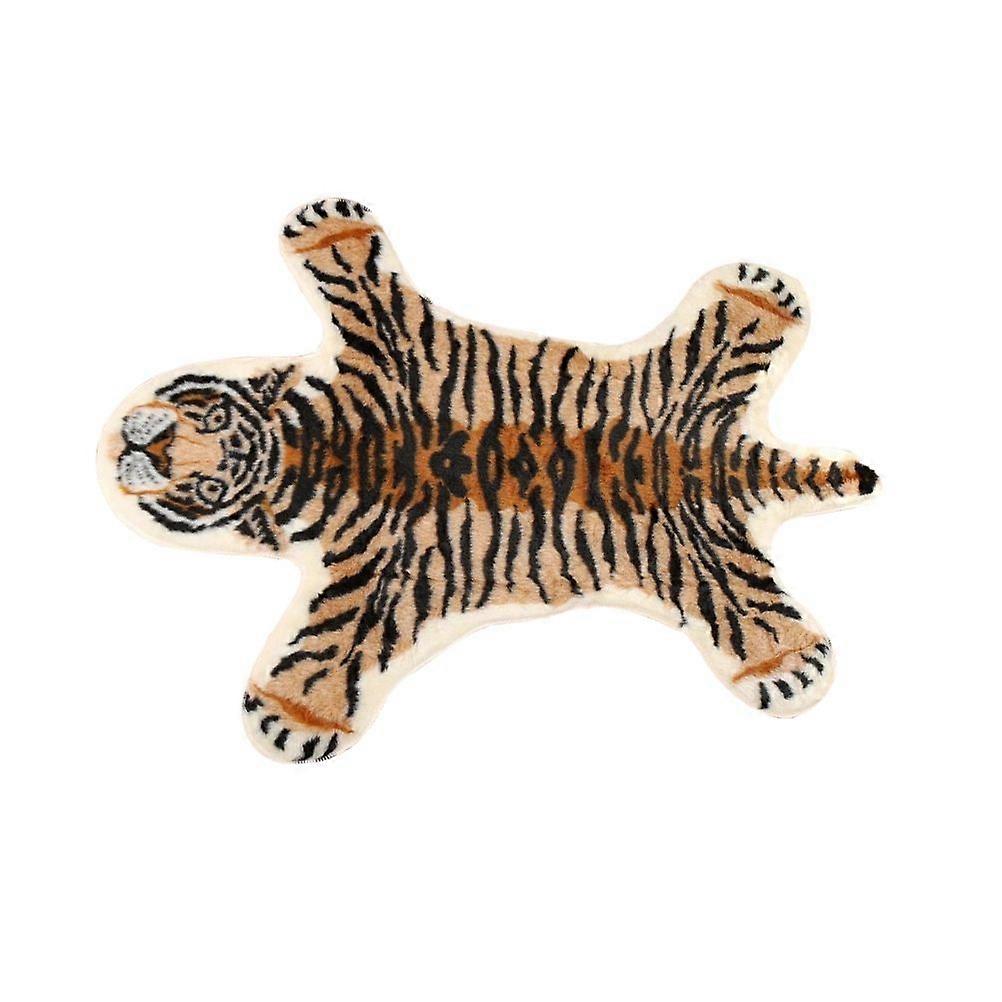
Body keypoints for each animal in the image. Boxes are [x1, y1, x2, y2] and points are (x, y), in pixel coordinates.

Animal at [98, 196, 879, 763]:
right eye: (196, 479)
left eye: (211, 423)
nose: (137, 449)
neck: (313, 448)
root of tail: (729, 456)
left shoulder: (391, 346)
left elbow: (360, 284)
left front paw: (294, 710)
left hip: (692, 502)